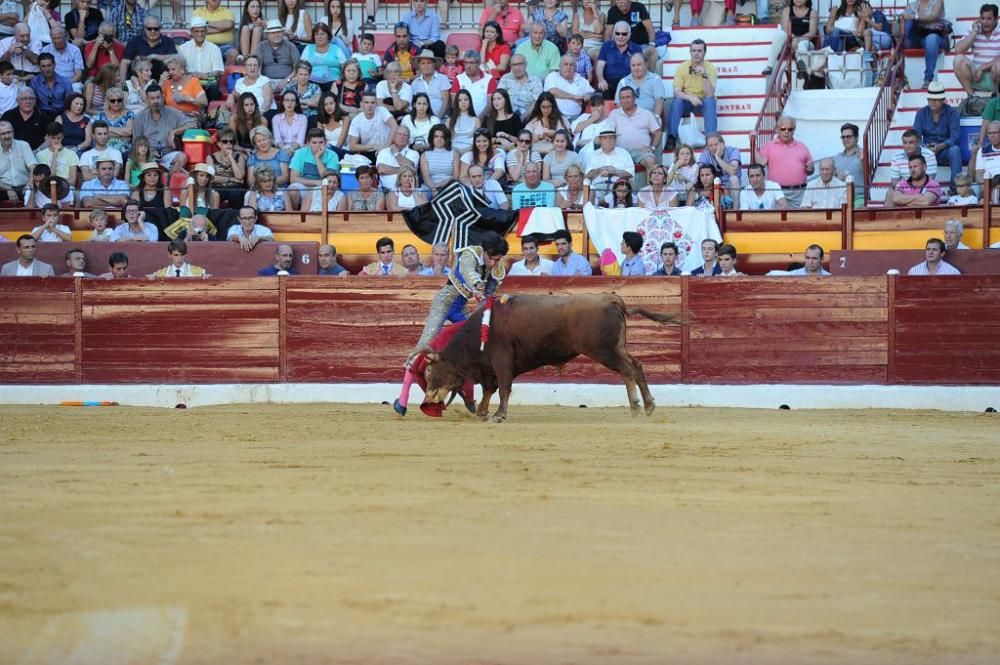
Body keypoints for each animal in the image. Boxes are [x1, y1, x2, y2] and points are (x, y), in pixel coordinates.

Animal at [426, 292, 684, 420]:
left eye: (429, 373)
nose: (428, 400)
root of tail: (611, 298)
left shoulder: (501, 360)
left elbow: (503, 388)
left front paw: (499, 415)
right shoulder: (489, 367)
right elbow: (489, 389)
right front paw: (482, 412)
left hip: (605, 351)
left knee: (627, 370)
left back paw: (636, 407)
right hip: (617, 348)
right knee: (636, 366)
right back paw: (648, 405)